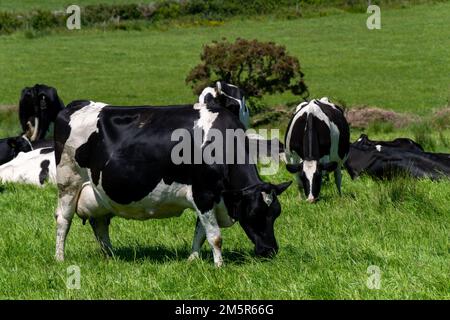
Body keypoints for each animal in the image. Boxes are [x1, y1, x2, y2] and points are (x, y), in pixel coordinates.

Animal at [53, 99, 292, 266]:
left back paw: (111, 257)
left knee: (100, 223)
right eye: (254, 213)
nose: (270, 250)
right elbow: (215, 236)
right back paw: (60, 258)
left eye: (276, 213)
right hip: (69, 183)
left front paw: (193, 260)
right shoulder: (204, 193)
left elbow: (200, 232)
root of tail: (76, 104)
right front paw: (219, 266)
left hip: (99, 193)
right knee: (63, 220)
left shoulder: (208, 198)